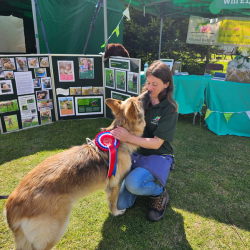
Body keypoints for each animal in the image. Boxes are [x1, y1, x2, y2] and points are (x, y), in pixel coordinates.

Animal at [4, 90, 150, 250]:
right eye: (139, 100)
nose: (148, 91)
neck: (119, 140)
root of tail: (11, 206)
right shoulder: (116, 185)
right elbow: (113, 202)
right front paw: (116, 213)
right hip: (56, 229)